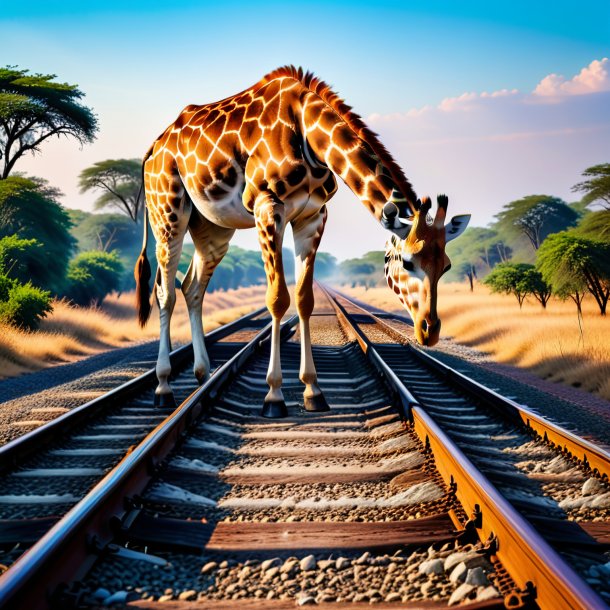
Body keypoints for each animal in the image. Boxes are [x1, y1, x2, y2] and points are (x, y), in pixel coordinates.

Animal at [134, 67, 470, 418]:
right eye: (407, 262)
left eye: (446, 266)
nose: (430, 331)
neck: (307, 132)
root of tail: (153, 149)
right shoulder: (267, 207)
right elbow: (278, 298)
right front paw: (274, 396)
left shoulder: (313, 215)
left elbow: (304, 299)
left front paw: (313, 391)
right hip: (168, 213)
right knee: (166, 292)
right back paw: (163, 386)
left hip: (212, 228)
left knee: (192, 288)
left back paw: (203, 374)